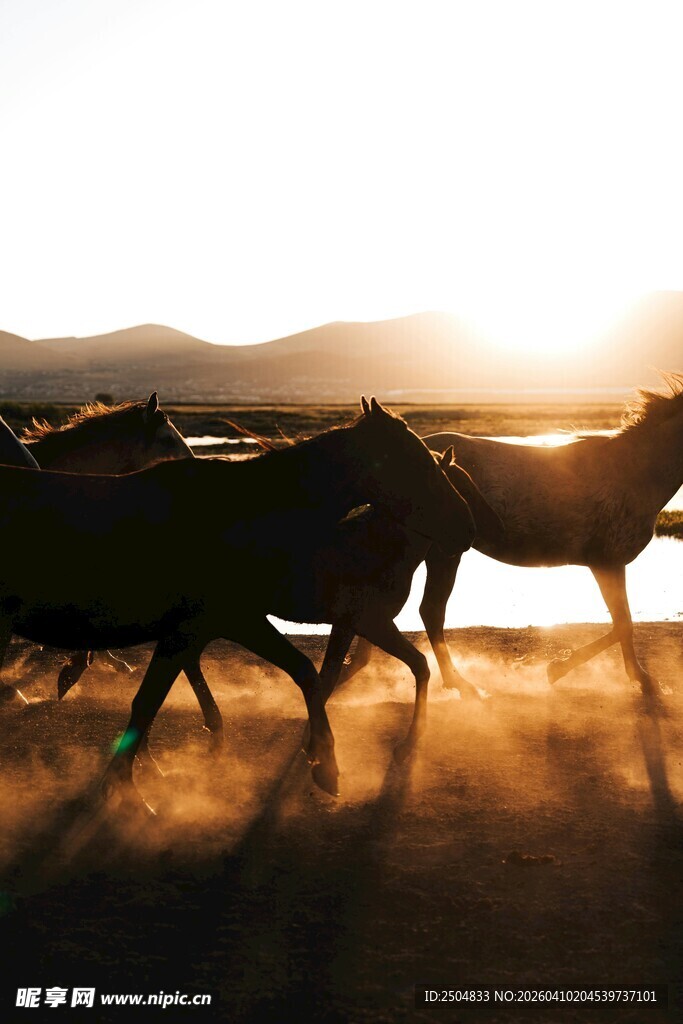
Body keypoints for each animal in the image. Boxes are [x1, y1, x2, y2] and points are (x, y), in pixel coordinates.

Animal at [0, 397, 474, 804]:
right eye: (414, 460)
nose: (466, 526)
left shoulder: (210, 627)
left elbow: (305, 674)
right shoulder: (226, 623)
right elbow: (149, 703)